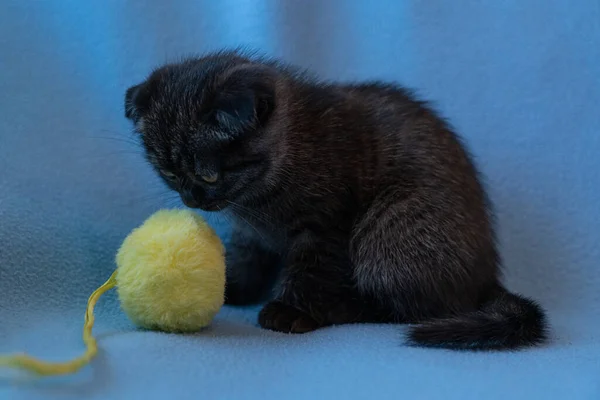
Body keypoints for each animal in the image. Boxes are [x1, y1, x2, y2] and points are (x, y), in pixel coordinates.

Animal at [123, 50, 548, 350]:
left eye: (209, 174)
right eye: (169, 173)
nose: (191, 198)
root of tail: (486, 278)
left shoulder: (326, 226)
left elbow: (311, 271)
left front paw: (290, 310)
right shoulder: (251, 233)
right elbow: (248, 255)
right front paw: (235, 285)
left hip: (389, 231)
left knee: (411, 307)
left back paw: (341, 308)